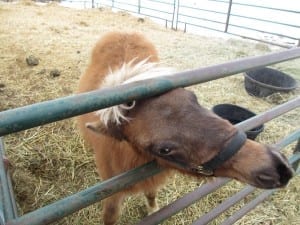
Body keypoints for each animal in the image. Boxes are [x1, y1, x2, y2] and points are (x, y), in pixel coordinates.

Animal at [76, 32, 292, 225]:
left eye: (193, 97)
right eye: (164, 150)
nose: (276, 166)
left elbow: (151, 194)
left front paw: (153, 209)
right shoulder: (111, 193)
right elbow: (111, 216)